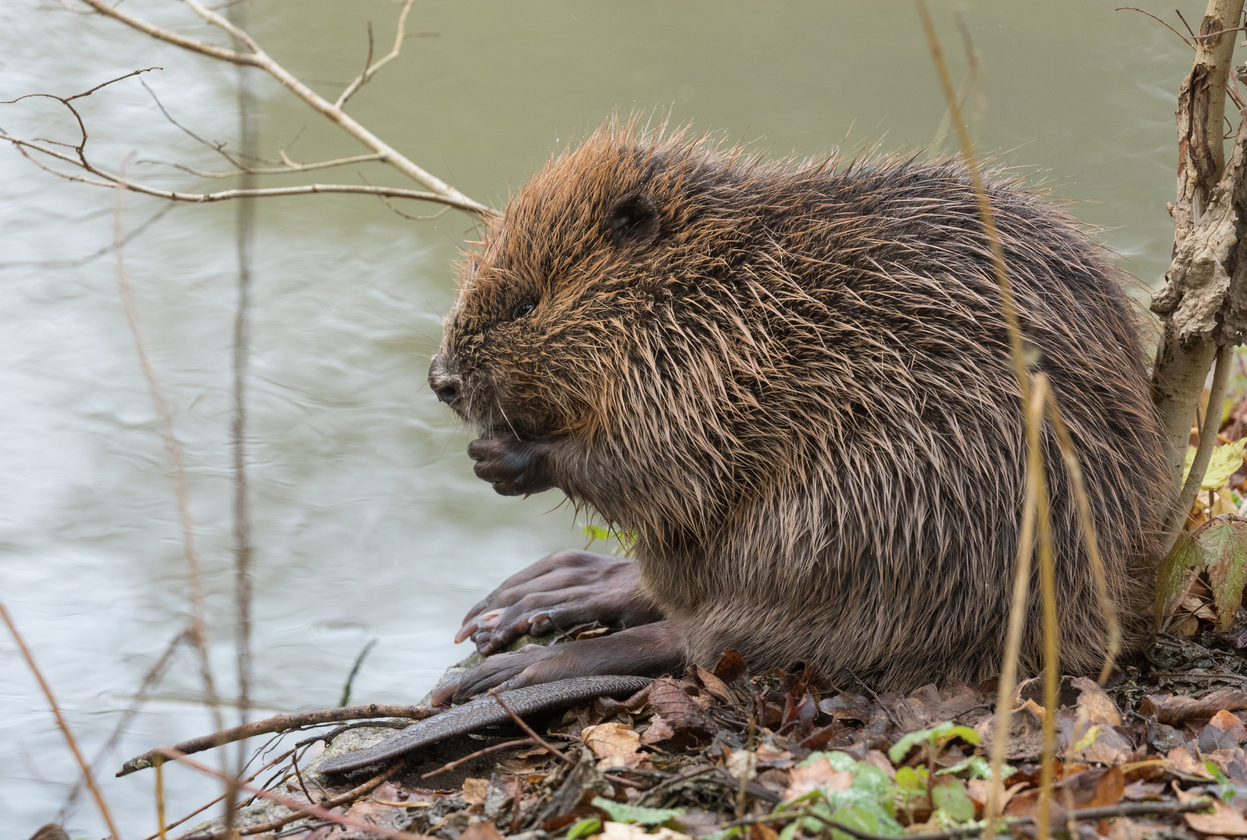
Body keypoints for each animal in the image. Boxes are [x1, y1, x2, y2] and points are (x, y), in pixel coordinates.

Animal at [428, 120, 1167, 702]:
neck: (713, 279)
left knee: (701, 634)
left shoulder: (709, 363)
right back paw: (540, 596)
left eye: (526, 304)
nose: (441, 380)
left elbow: (665, 469)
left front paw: (506, 457)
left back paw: (518, 668)